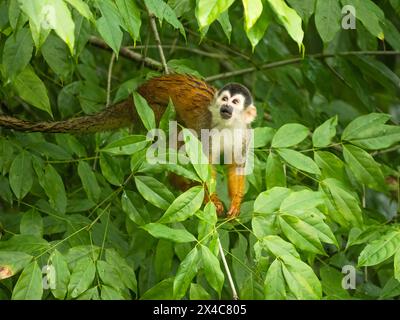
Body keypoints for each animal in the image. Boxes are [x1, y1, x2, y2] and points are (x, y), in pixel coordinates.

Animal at [0, 74, 256, 218]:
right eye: (224, 100)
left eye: (234, 102)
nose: (226, 108)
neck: (227, 124)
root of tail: (134, 96)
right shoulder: (206, 126)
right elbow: (203, 165)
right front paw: (212, 199)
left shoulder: (244, 134)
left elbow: (236, 165)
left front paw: (235, 204)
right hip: (151, 111)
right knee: (177, 133)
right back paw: (178, 182)